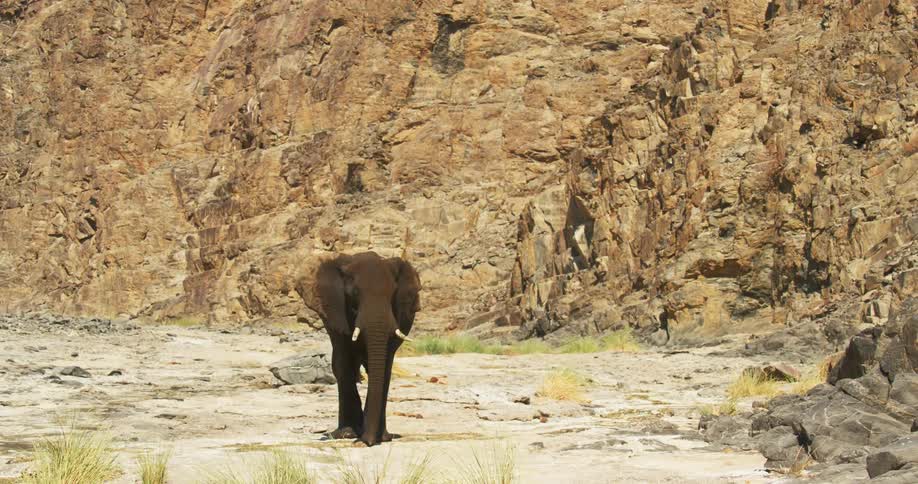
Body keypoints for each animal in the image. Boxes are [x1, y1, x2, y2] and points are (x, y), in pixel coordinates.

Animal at [311, 251, 421, 446]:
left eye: (393, 293)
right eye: (354, 293)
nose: (366, 442)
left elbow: (384, 367)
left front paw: (379, 438)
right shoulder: (336, 314)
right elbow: (343, 362)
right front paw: (349, 434)